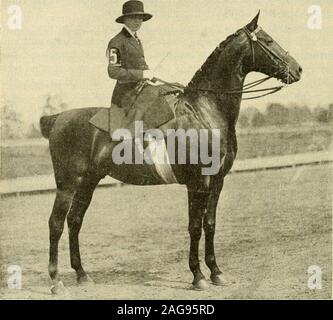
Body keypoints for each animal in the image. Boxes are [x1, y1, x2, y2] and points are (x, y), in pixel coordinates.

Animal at [39, 13, 300, 296]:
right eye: (268, 40)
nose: (297, 69)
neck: (204, 111)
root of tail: (57, 118)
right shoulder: (198, 182)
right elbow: (195, 227)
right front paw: (198, 276)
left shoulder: (217, 180)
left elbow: (210, 224)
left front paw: (216, 272)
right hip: (67, 183)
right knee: (55, 223)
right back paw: (56, 281)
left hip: (89, 181)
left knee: (74, 220)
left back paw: (82, 274)